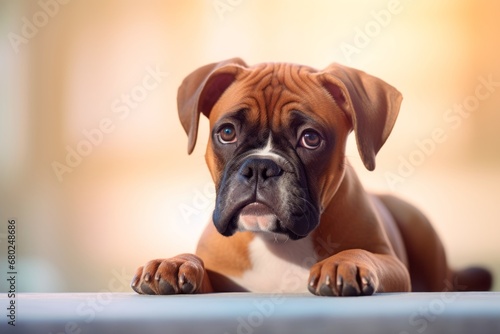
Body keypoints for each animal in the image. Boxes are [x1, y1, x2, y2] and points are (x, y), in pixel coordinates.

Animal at [130, 58, 492, 296]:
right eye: (227, 133)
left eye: (310, 139)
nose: (260, 166)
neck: (277, 241)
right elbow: (199, 267)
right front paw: (175, 263)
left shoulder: (393, 266)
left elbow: (363, 254)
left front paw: (343, 263)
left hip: (418, 222)